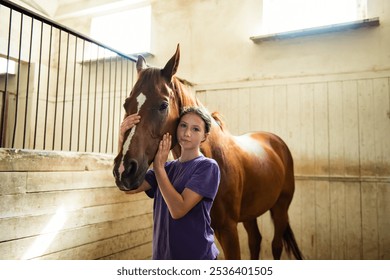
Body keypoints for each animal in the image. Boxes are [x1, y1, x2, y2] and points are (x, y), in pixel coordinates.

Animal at [112, 44, 302, 260]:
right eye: (126, 104)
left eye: (163, 105)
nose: (123, 170)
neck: (215, 159)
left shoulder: (228, 229)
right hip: (251, 214)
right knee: (255, 241)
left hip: (280, 208)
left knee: (276, 245)